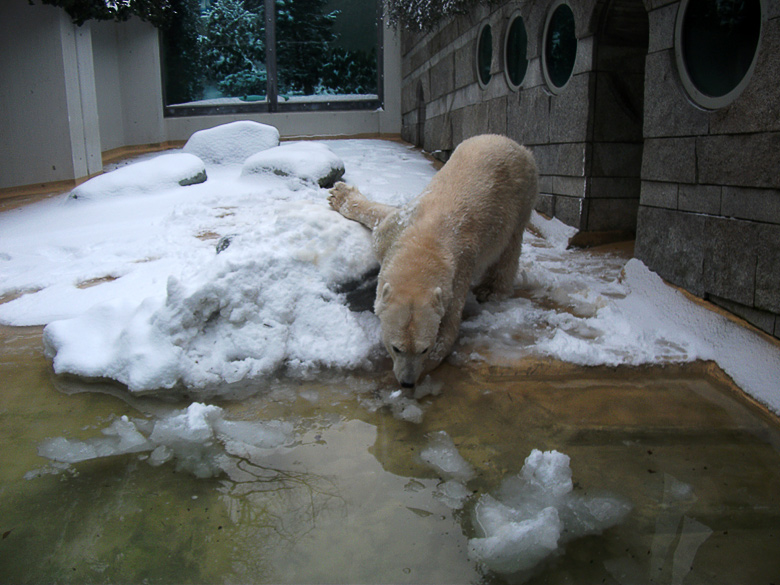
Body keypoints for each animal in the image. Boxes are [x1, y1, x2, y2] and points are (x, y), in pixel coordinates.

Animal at [328, 134, 536, 386]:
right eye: (396, 347)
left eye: (423, 349)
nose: (407, 382)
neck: (425, 244)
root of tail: (514, 144)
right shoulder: (398, 227)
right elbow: (381, 216)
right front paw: (339, 194)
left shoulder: (458, 275)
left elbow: (447, 332)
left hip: (523, 195)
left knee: (510, 248)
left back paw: (491, 289)